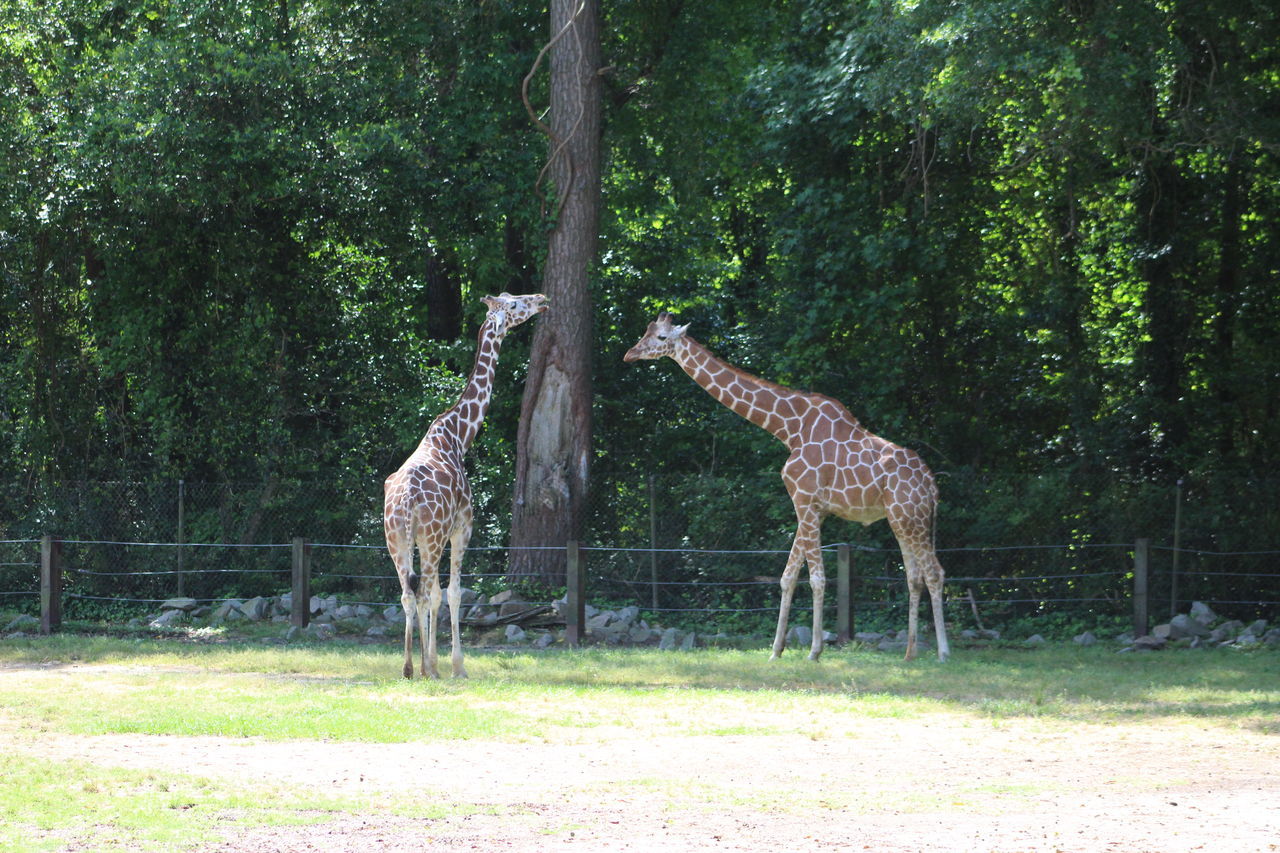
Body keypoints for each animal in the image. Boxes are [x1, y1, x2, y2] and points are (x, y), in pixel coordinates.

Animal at [381, 292, 547, 676]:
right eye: (514, 305)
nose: (541, 299)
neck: (458, 436)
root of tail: (406, 499)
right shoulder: (462, 526)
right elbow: (452, 593)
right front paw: (456, 665)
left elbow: (434, 595)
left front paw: (435, 661)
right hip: (429, 536)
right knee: (425, 590)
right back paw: (426, 668)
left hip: (396, 539)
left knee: (408, 592)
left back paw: (409, 667)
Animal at [624, 308, 947, 660]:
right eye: (645, 332)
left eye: (661, 337)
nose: (630, 354)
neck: (788, 429)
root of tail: (931, 485)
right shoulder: (814, 509)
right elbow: (787, 577)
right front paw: (776, 650)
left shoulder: (804, 500)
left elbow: (817, 578)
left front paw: (814, 651)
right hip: (902, 520)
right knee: (914, 577)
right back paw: (910, 653)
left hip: (911, 517)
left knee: (934, 572)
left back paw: (943, 652)